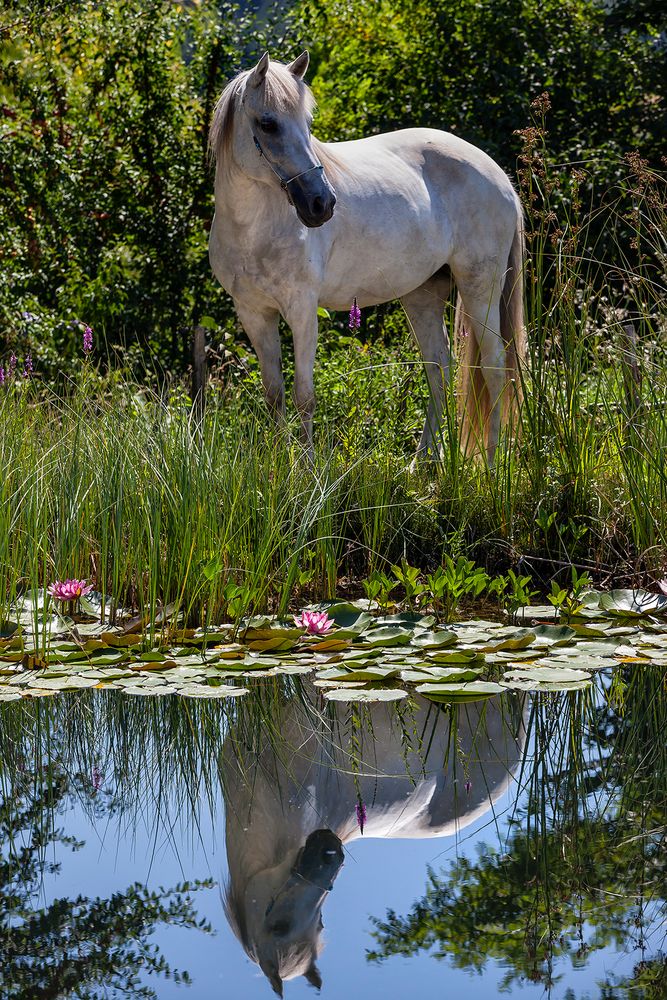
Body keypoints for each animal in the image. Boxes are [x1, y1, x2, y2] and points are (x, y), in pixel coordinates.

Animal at [209, 50, 528, 464]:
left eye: (307, 123)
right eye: (268, 124)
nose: (321, 204)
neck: (254, 229)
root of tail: (499, 176)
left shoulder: (302, 310)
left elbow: (304, 396)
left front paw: (307, 469)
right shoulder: (253, 313)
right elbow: (274, 394)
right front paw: (278, 462)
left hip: (481, 289)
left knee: (493, 369)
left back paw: (490, 467)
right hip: (422, 295)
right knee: (440, 370)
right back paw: (422, 463)